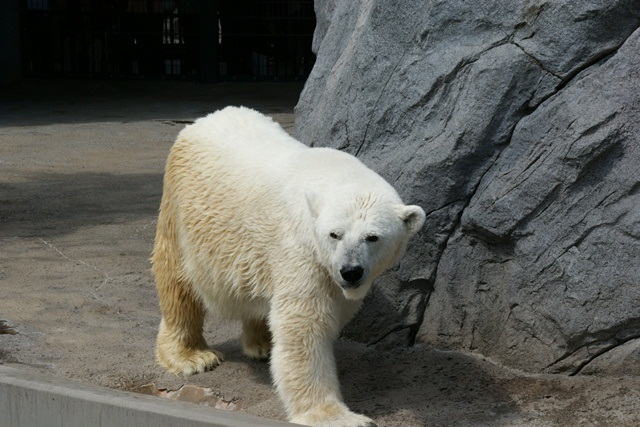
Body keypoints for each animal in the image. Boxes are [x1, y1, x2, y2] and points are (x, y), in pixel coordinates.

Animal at [151, 107, 424, 427]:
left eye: (373, 237)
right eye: (335, 234)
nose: (350, 271)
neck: (331, 176)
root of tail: (205, 119)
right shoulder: (301, 250)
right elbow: (305, 328)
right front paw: (337, 416)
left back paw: (261, 344)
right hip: (181, 209)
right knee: (177, 280)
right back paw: (191, 356)